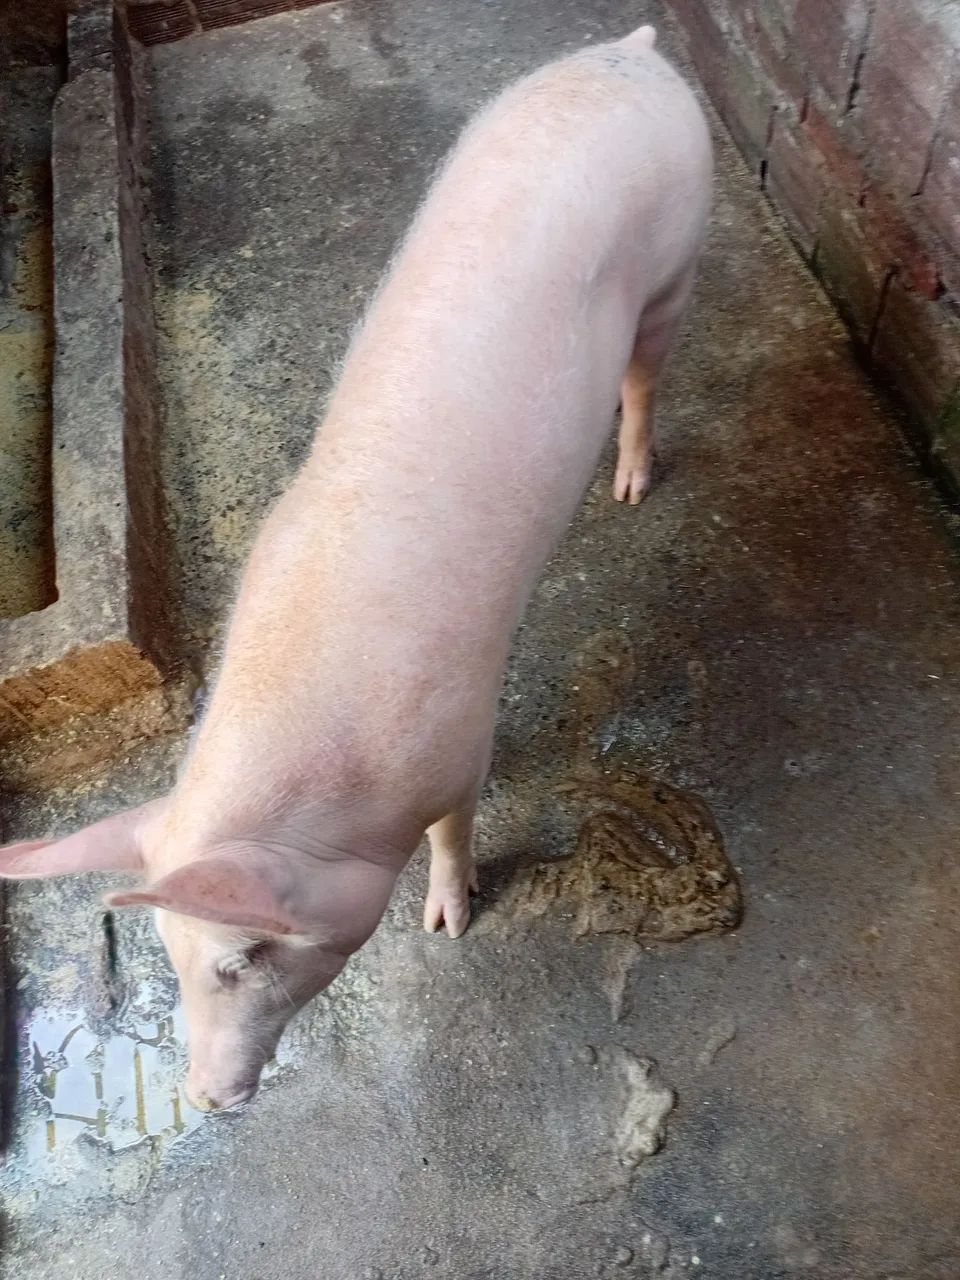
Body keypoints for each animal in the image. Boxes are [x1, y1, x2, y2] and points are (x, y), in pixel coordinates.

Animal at [0, 26, 711, 1111]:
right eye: (169, 951)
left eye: (244, 957)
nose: (206, 1096)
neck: (341, 793)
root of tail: (631, 54)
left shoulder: (460, 734)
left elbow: (457, 831)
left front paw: (446, 921)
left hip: (677, 256)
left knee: (644, 376)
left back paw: (630, 489)